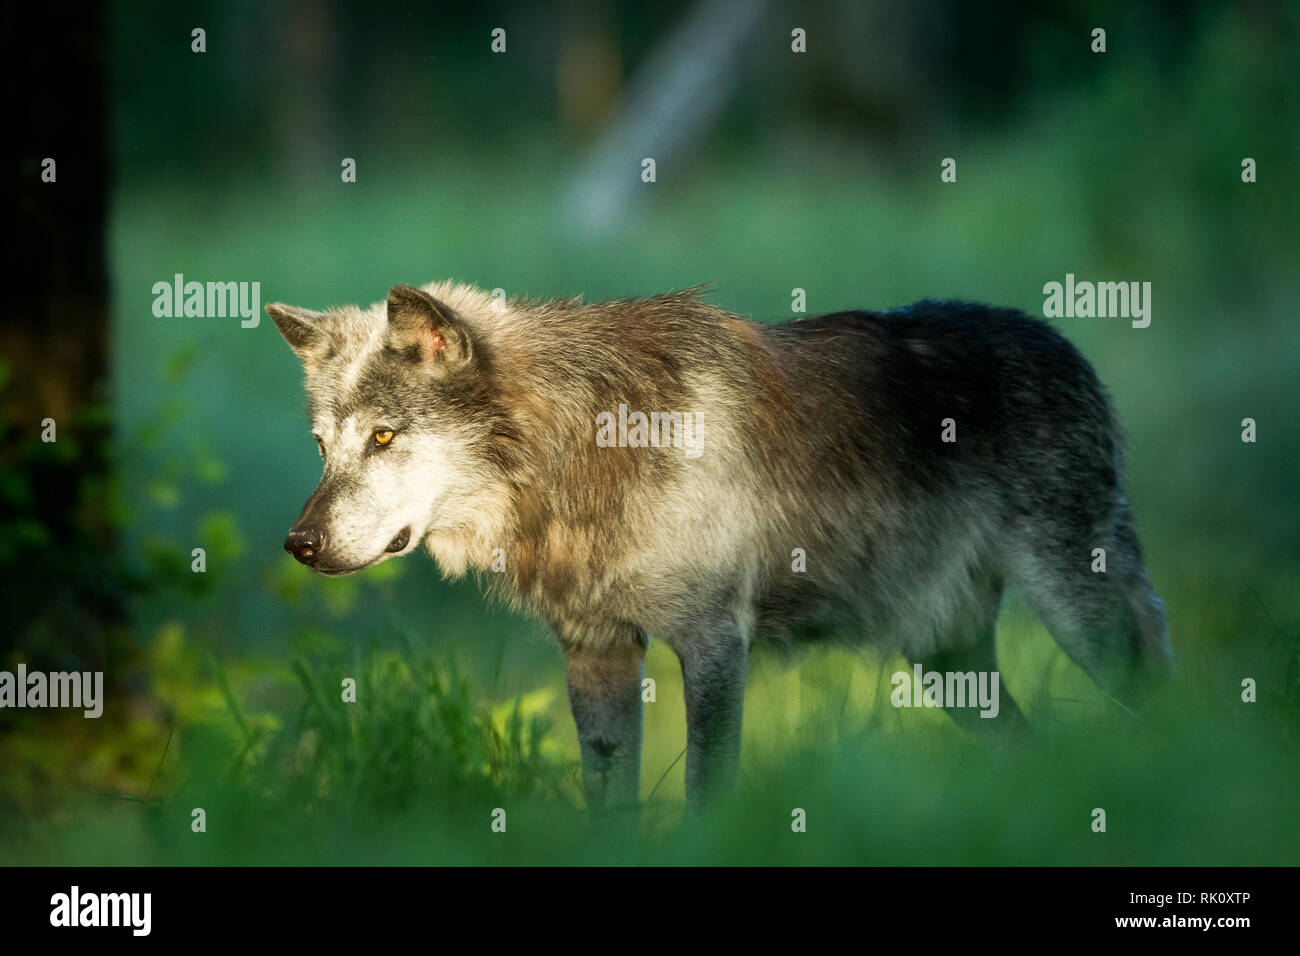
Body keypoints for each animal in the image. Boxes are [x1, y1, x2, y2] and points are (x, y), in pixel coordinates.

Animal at [268, 282, 1172, 812]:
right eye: (320, 447)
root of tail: (1062, 343)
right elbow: (609, 800)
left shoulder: (711, 643)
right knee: (1031, 745)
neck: (582, 447)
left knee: (1151, 700)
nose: (299, 544)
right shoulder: (597, 652)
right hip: (947, 662)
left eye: (384, 436)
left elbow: (708, 787)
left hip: (1073, 610)